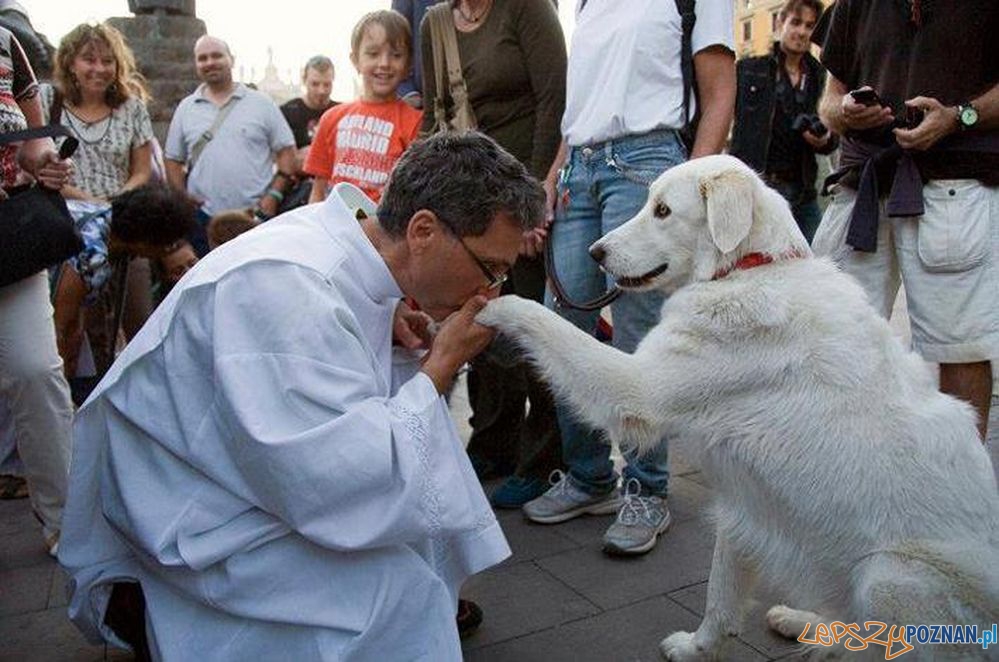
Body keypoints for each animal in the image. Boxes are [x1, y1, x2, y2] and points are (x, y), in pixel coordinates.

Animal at [478, 156, 999, 660]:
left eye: (662, 211)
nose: (594, 253)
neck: (750, 268)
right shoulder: (744, 504)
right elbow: (720, 598)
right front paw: (696, 649)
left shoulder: (637, 390)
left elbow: (545, 321)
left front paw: (491, 307)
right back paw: (807, 625)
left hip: (887, 576)